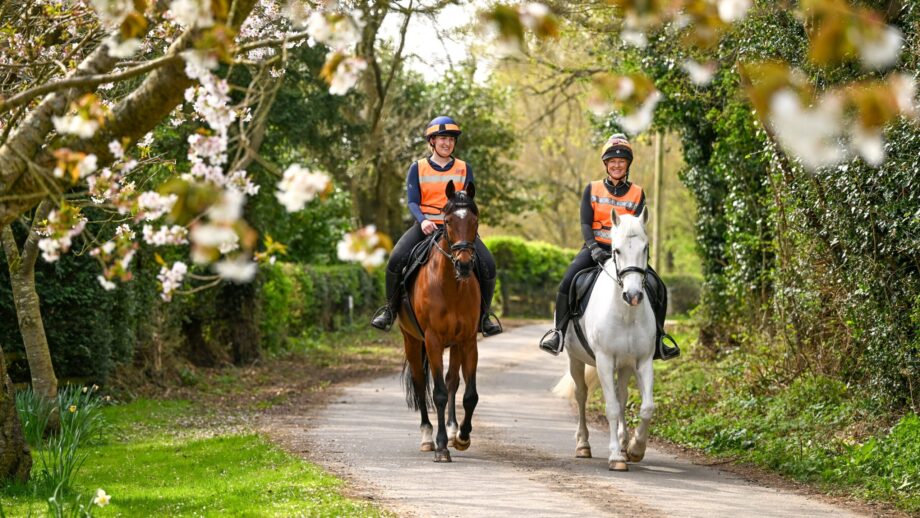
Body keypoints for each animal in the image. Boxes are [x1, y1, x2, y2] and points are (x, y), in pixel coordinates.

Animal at [397, 180, 481, 463]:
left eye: (475, 220)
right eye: (447, 220)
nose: (464, 264)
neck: (451, 287)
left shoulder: (467, 341)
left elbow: (468, 394)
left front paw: (463, 437)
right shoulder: (432, 340)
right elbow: (439, 393)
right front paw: (442, 446)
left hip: (454, 344)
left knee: (453, 380)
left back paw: (454, 431)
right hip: (412, 341)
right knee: (421, 384)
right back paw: (427, 437)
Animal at [553, 208, 656, 471]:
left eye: (645, 247)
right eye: (616, 250)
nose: (633, 295)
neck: (626, 313)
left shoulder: (643, 361)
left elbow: (646, 407)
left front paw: (635, 448)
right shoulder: (604, 360)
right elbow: (610, 408)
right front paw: (616, 457)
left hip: (625, 365)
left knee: (622, 396)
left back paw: (624, 442)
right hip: (575, 359)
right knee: (581, 394)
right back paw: (583, 445)